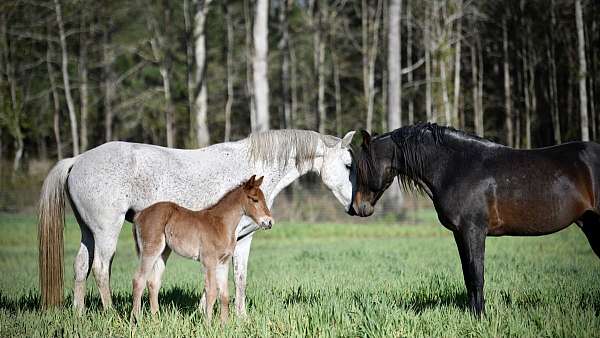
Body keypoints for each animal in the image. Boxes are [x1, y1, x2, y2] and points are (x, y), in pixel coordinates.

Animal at [132, 174, 274, 322]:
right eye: (254, 199)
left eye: (263, 198)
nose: (269, 222)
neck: (220, 223)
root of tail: (139, 214)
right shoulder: (209, 261)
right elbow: (211, 292)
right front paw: (208, 323)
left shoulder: (223, 262)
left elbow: (224, 295)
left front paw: (224, 324)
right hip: (150, 250)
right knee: (138, 280)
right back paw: (135, 320)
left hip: (163, 252)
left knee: (153, 283)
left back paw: (156, 320)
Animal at [346, 123, 600, 316]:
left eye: (359, 168)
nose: (356, 208)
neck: (457, 167)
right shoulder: (460, 234)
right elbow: (468, 276)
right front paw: (473, 314)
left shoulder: (473, 231)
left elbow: (477, 275)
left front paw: (480, 316)